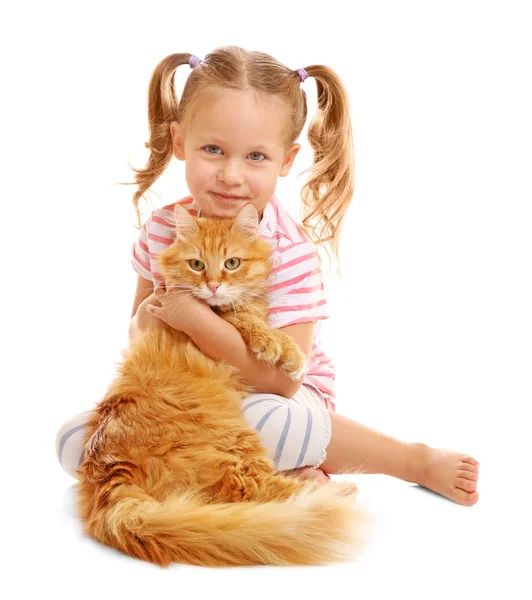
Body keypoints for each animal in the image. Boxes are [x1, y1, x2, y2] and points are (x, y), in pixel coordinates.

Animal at [77, 203, 372, 568]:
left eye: (232, 263)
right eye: (197, 265)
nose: (214, 285)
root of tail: (110, 470)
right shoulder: (206, 315)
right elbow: (245, 320)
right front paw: (285, 352)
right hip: (237, 446)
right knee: (259, 491)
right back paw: (336, 493)